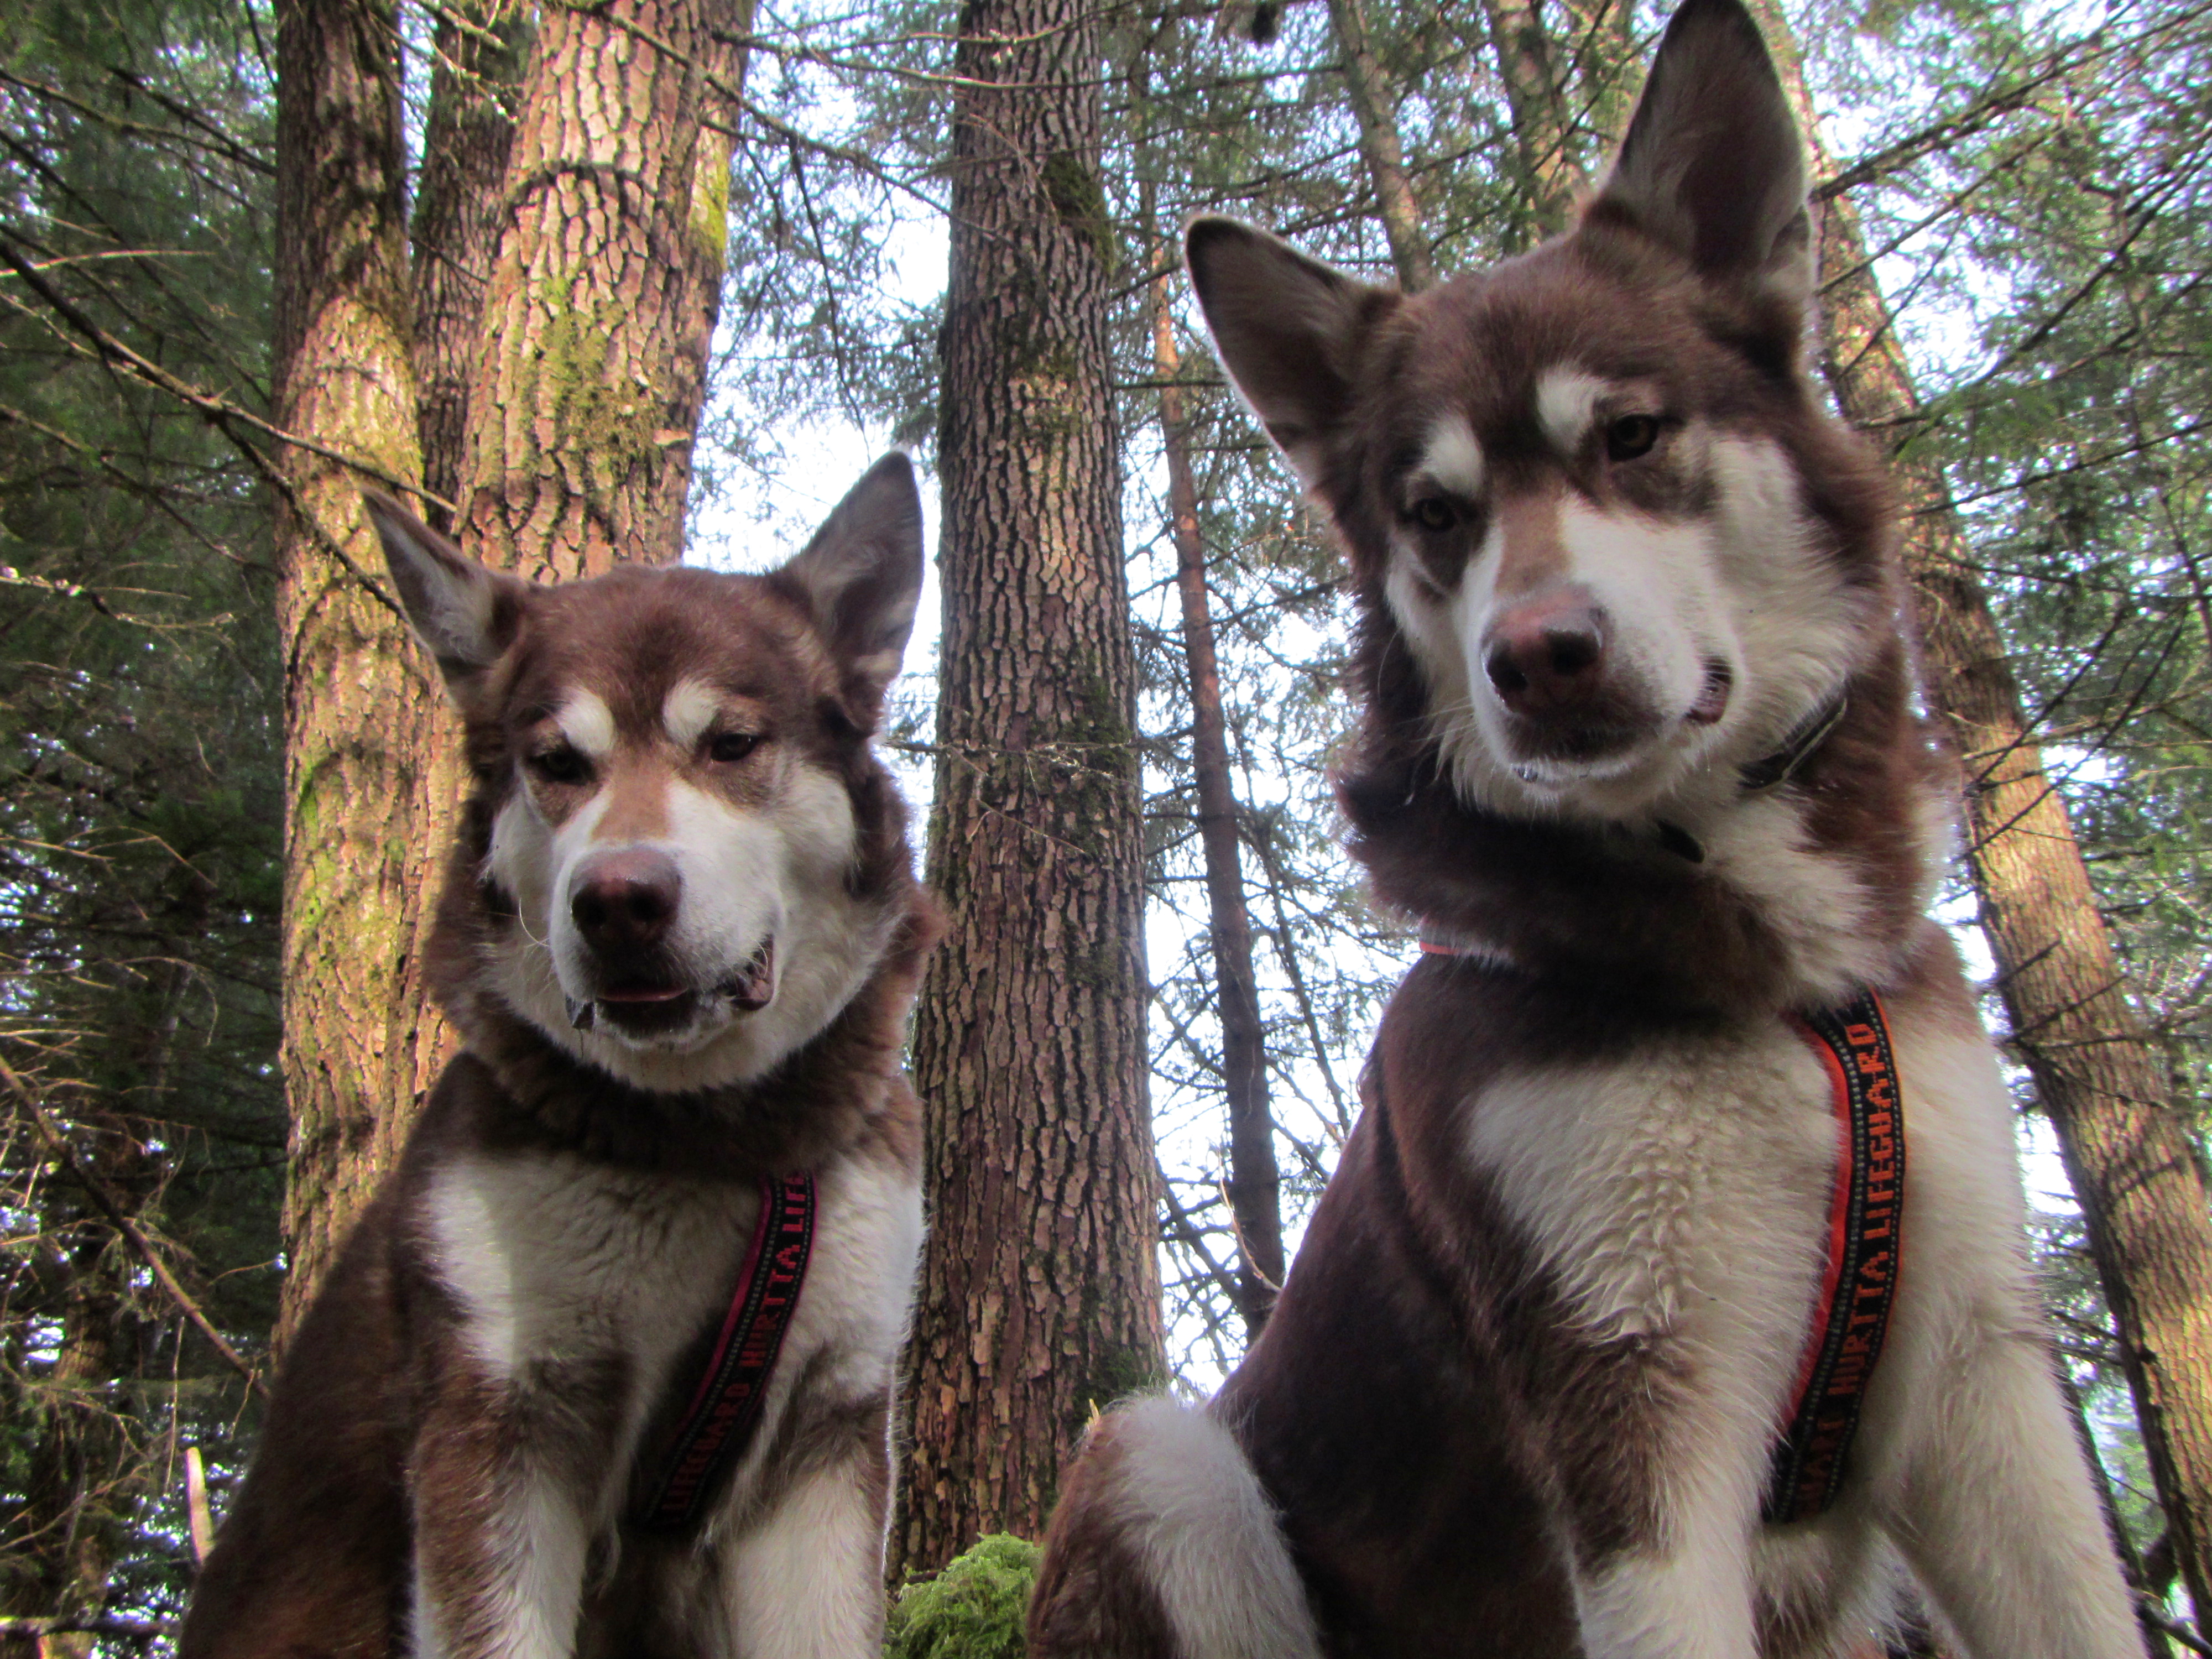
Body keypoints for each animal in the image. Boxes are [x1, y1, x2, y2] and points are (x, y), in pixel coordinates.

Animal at [181, 458, 942, 1659]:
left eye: (730, 745)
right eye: (555, 764)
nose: (618, 901)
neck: (712, 1140)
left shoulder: (827, 1428)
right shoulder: (499, 1418)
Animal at [1031, 3, 2141, 1659]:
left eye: (1627, 435)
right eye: (1433, 513)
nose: (1536, 658)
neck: (1764, 978)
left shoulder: (1982, 1377)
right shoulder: (1629, 1406)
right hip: (1161, 1457)